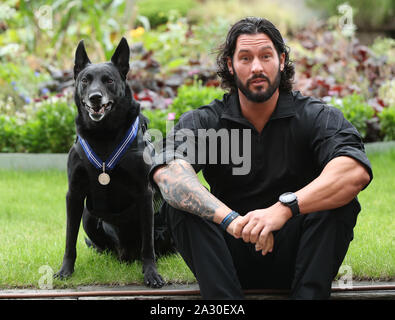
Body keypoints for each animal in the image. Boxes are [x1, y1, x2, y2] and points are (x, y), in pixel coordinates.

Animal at [53, 37, 168, 288]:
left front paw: (151, 273)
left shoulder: (144, 193)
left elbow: (148, 245)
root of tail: (125, 253)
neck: (104, 135)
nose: (95, 97)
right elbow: (69, 239)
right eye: (85, 80)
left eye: (109, 80)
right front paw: (65, 271)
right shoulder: (74, 194)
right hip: (88, 215)